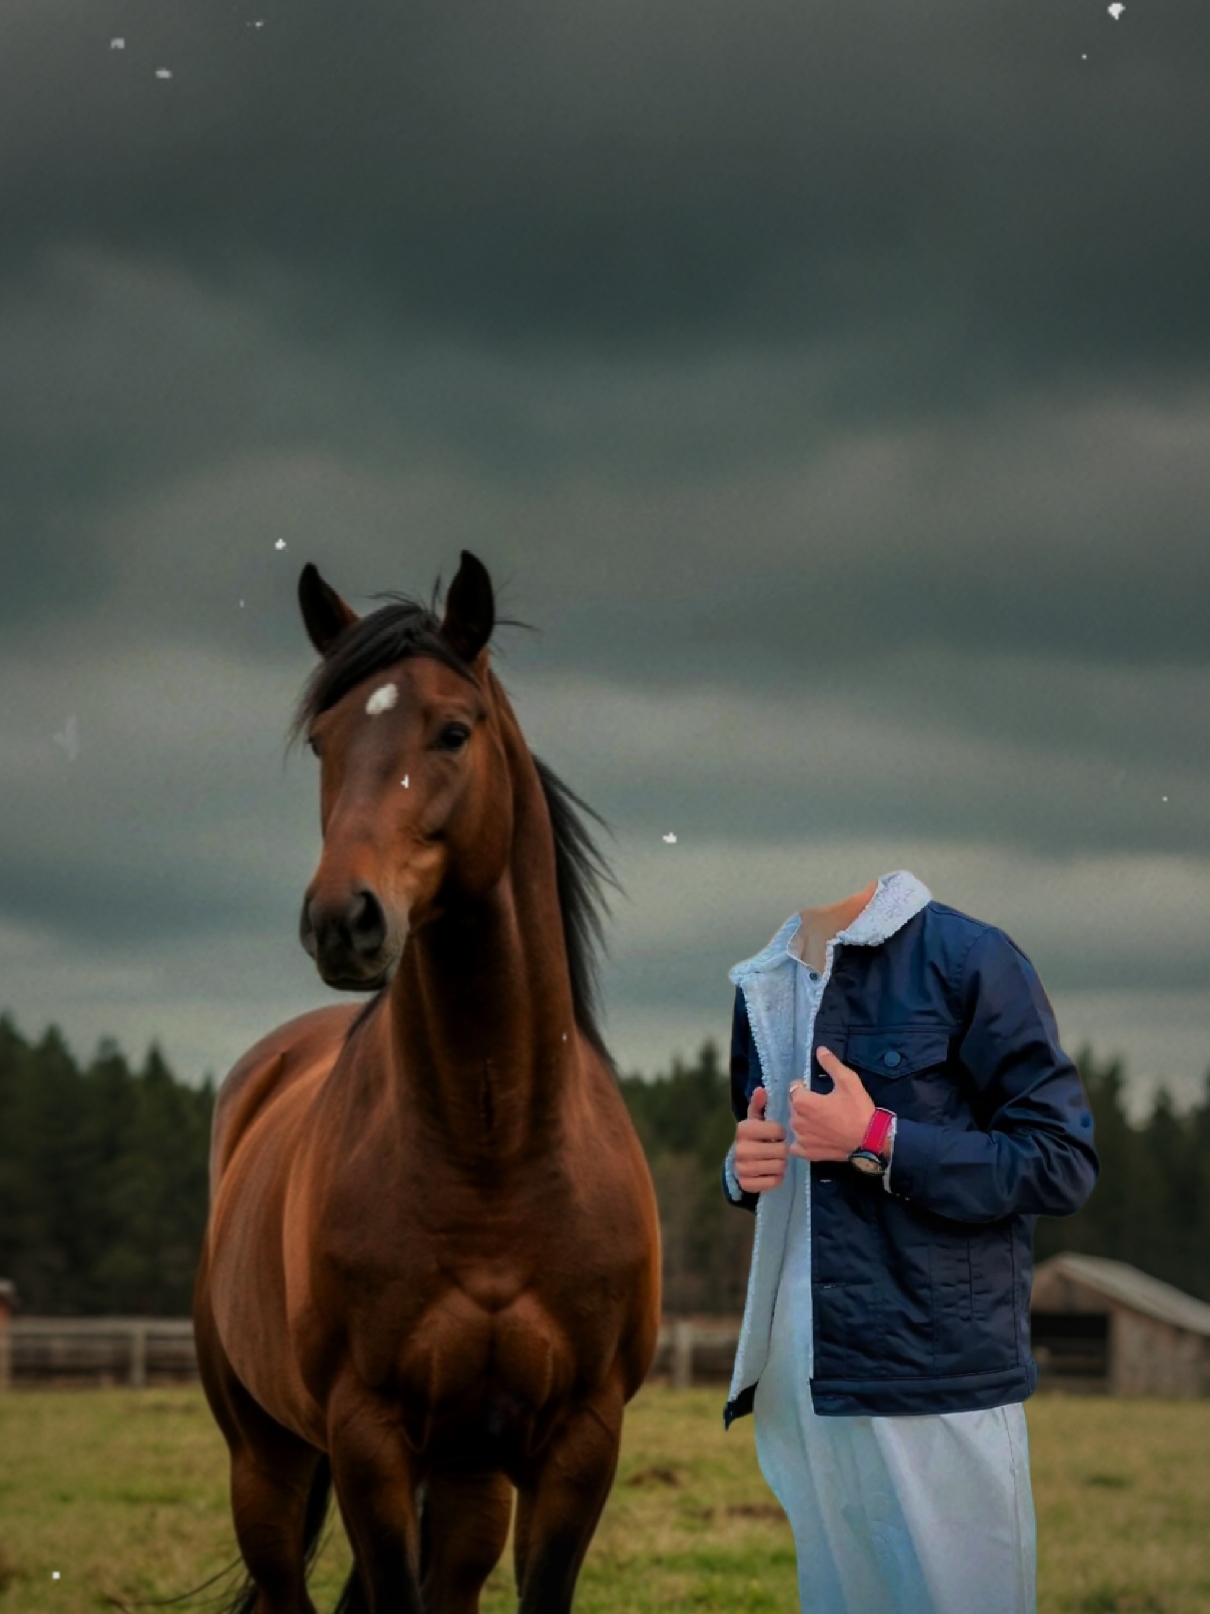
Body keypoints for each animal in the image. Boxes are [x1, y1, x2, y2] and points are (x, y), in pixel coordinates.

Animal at [193, 550, 662, 1614]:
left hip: (468, 1478)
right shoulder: (367, 1438)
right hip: (267, 1460)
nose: (343, 920)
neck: (494, 1156)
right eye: (323, 740)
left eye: (453, 730)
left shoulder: (579, 1447)